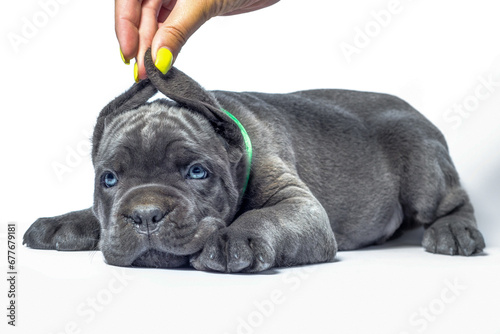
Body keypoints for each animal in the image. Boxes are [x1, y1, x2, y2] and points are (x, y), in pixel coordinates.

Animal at [22, 51, 484, 272]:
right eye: (109, 179)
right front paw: (63, 222)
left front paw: (232, 239)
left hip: (421, 168)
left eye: (197, 172)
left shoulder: (301, 207)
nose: (146, 215)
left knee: (454, 200)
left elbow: (266, 217)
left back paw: (455, 232)